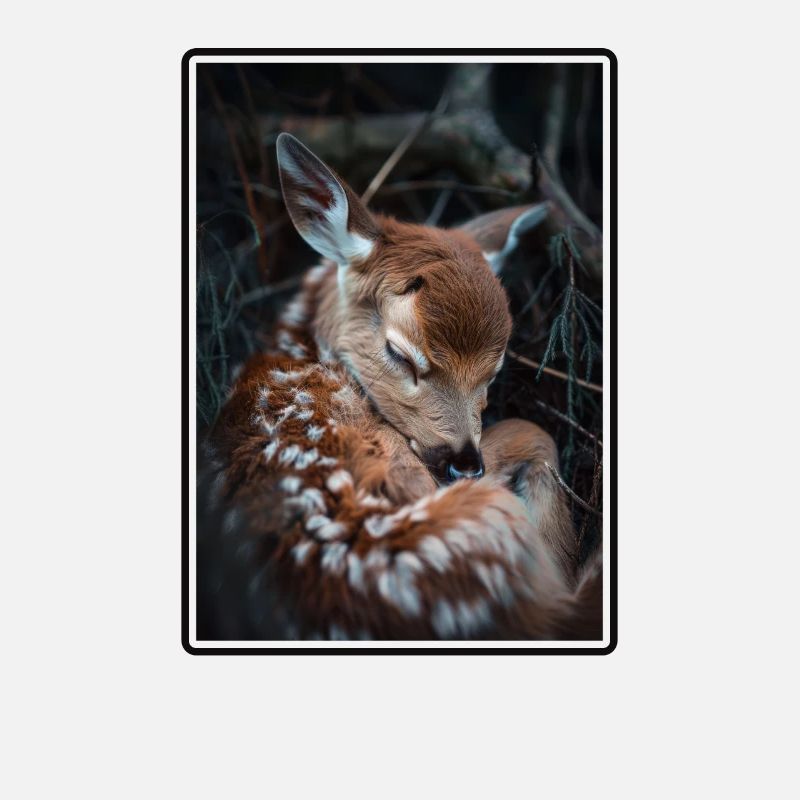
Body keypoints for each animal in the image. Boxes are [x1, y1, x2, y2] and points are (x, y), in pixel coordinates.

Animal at [198, 133, 602, 641]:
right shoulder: (406, 464)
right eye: (399, 354)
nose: (464, 463)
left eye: (494, 370)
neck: (300, 348)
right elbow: (532, 430)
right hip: (483, 518)